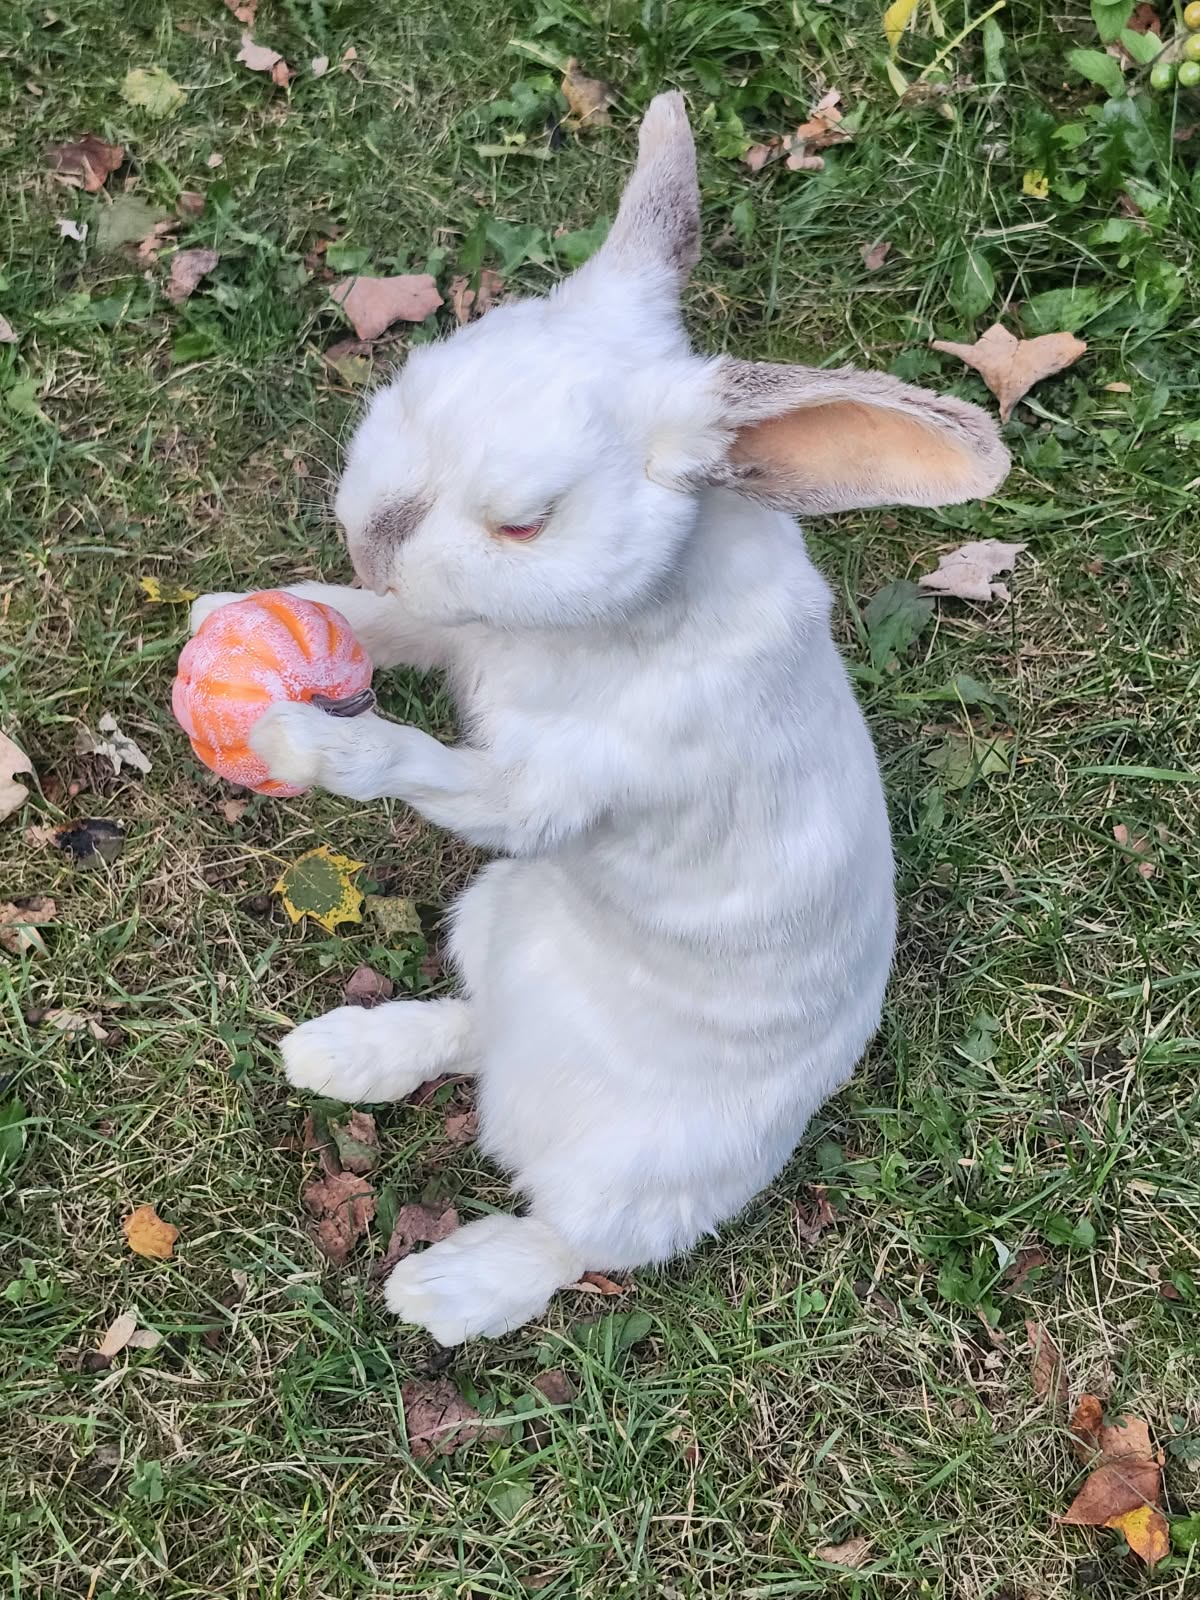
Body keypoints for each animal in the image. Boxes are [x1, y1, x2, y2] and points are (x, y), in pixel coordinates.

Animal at [192, 93, 1009, 1345]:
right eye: (413, 382)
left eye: (527, 522)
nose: (371, 532)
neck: (623, 612)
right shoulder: (458, 636)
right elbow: (387, 621)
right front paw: (236, 614)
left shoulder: (547, 792)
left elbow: (419, 762)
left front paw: (298, 737)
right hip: (492, 922)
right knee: (471, 1028)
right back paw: (342, 1054)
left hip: (641, 1175)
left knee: (568, 1240)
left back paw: (442, 1285)